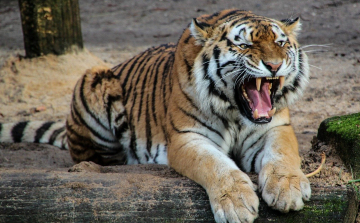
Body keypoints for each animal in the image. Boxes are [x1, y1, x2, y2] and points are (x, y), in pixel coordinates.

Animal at [0, 9, 310, 222]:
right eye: (244, 45)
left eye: (281, 44)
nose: (274, 65)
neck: (235, 112)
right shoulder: (187, 138)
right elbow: (216, 165)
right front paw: (237, 203)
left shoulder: (276, 127)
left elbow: (282, 155)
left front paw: (287, 189)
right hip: (94, 78)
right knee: (94, 157)